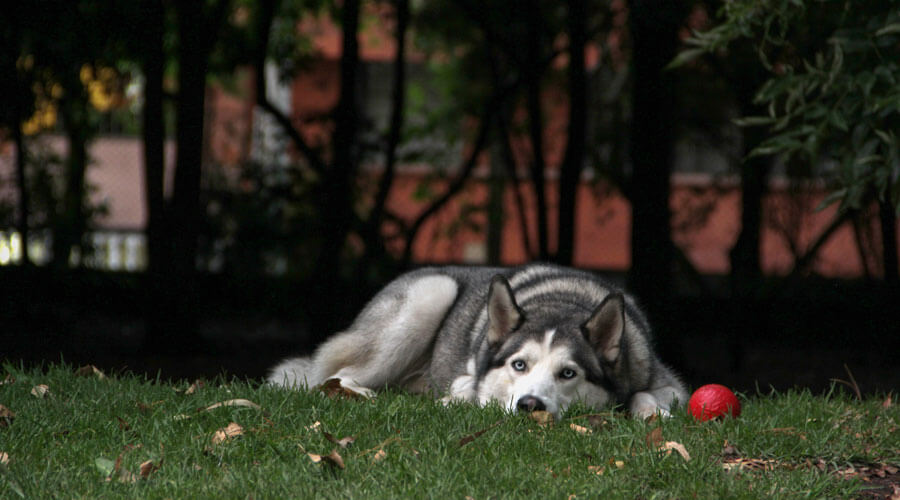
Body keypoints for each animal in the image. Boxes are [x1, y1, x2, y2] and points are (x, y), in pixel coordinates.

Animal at [268, 264, 688, 420]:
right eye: (519, 365)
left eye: (568, 373)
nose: (529, 404)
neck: (563, 302)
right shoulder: (471, 375)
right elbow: (470, 387)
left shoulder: (669, 384)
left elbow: (644, 394)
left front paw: (651, 413)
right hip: (429, 294)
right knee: (333, 375)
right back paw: (362, 393)